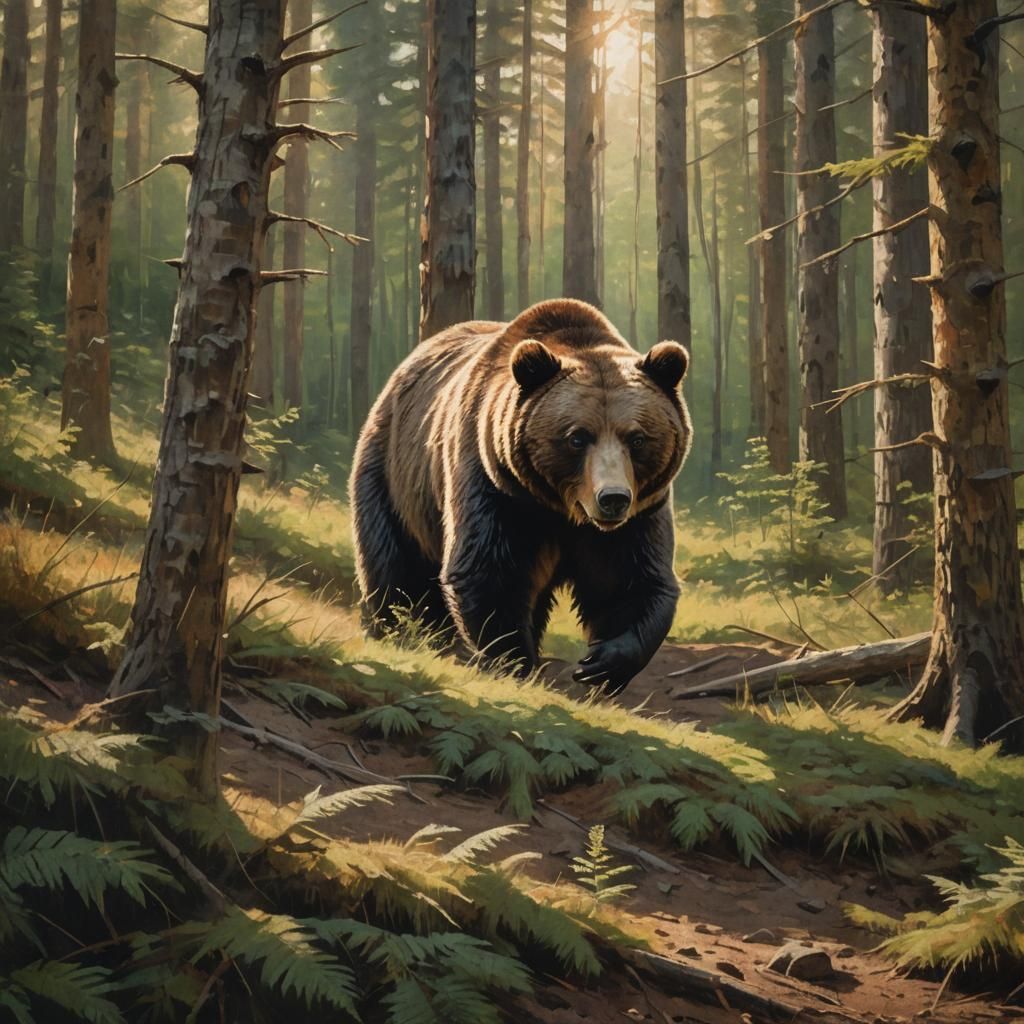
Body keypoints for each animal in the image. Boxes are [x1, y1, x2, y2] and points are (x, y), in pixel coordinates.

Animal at [348, 298, 692, 695]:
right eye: (577, 437)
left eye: (637, 439)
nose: (612, 498)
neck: (561, 509)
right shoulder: (495, 486)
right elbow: (487, 571)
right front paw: (515, 662)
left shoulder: (639, 512)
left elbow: (629, 579)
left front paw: (603, 663)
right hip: (393, 474)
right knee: (396, 569)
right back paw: (400, 634)